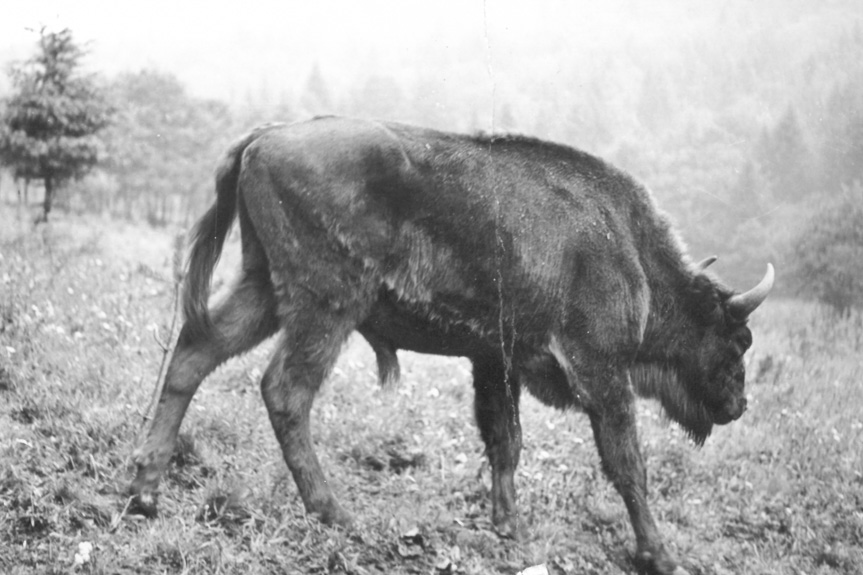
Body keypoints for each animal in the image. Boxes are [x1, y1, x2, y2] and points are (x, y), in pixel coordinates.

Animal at [132, 118, 772, 575]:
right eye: (738, 340)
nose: (738, 407)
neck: (629, 251)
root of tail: (262, 138)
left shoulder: (495, 362)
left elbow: (505, 442)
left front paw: (509, 527)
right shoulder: (602, 373)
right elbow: (626, 465)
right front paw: (660, 555)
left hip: (263, 288)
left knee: (193, 354)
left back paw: (144, 492)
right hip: (326, 304)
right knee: (285, 391)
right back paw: (335, 512)